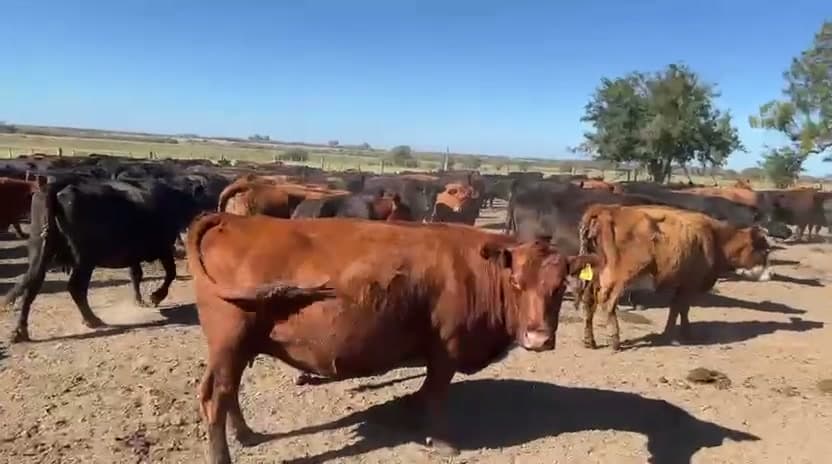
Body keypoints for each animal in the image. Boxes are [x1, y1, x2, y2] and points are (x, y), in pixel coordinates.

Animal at [3, 177, 205, 342]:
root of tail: (56, 186)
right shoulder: (163, 247)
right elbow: (170, 272)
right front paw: (156, 296)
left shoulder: (134, 254)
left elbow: (136, 274)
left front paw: (139, 300)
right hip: (84, 260)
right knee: (75, 288)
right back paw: (92, 319)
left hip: (40, 251)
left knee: (31, 285)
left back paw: (20, 332)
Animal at [185, 213, 598, 464]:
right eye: (516, 283)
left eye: (560, 287)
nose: (539, 338)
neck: (476, 269)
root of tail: (234, 220)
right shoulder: (445, 350)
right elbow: (436, 396)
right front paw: (442, 442)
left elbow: (425, 394)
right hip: (230, 342)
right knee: (215, 397)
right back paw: (223, 455)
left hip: (236, 349)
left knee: (226, 392)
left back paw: (247, 435)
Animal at [576, 204, 771, 351]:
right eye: (765, 250)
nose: (771, 274)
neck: (714, 238)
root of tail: (605, 209)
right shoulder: (690, 284)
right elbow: (683, 308)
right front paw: (685, 334)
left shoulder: (681, 283)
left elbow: (675, 308)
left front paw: (669, 333)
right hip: (617, 277)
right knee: (607, 302)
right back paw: (615, 340)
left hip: (594, 275)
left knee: (589, 302)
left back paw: (589, 341)